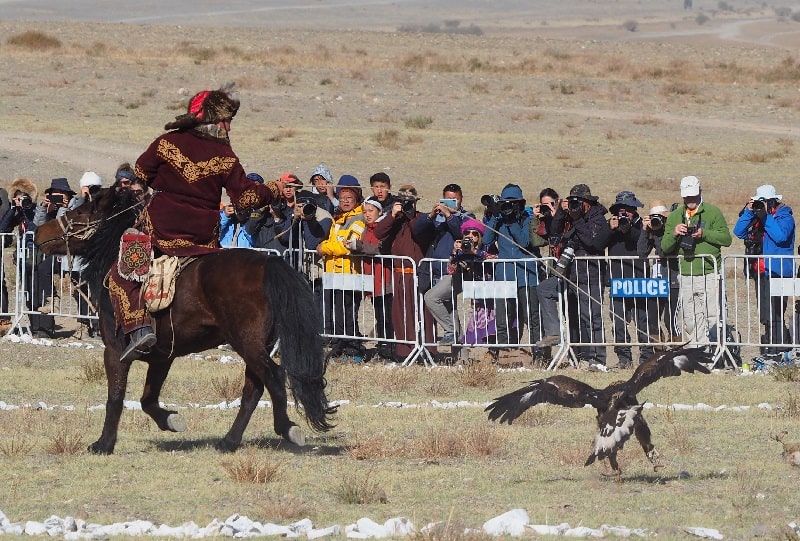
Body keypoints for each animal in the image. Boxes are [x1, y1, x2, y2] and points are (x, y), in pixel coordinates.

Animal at [33, 188, 334, 454]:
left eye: (79, 212)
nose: (38, 233)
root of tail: (269, 263)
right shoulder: (162, 355)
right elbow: (147, 399)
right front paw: (172, 420)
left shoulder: (115, 351)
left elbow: (115, 398)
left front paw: (103, 444)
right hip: (257, 346)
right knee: (254, 388)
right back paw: (229, 441)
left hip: (247, 343)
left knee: (274, 377)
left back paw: (287, 429)